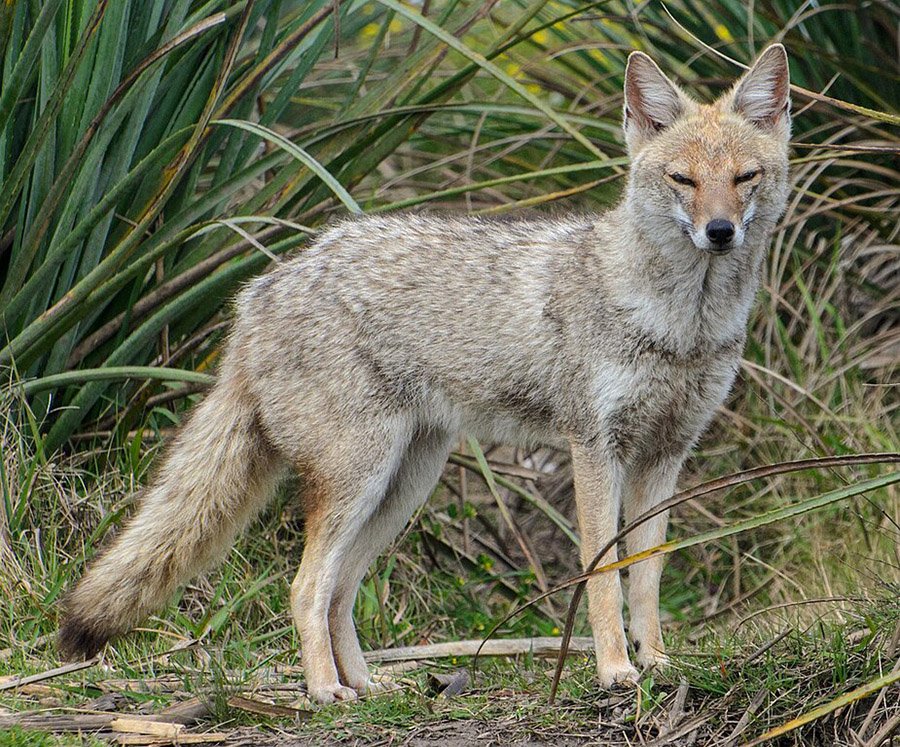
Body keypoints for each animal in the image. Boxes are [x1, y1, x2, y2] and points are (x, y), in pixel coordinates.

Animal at [56, 45, 792, 700]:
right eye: (684, 180)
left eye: (745, 178)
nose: (720, 231)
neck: (682, 326)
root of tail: (258, 293)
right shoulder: (595, 448)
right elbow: (603, 576)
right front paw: (614, 670)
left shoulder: (667, 455)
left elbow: (646, 576)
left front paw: (659, 663)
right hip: (362, 478)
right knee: (306, 586)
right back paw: (324, 690)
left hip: (403, 485)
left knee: (340, 589)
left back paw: (368, 683)